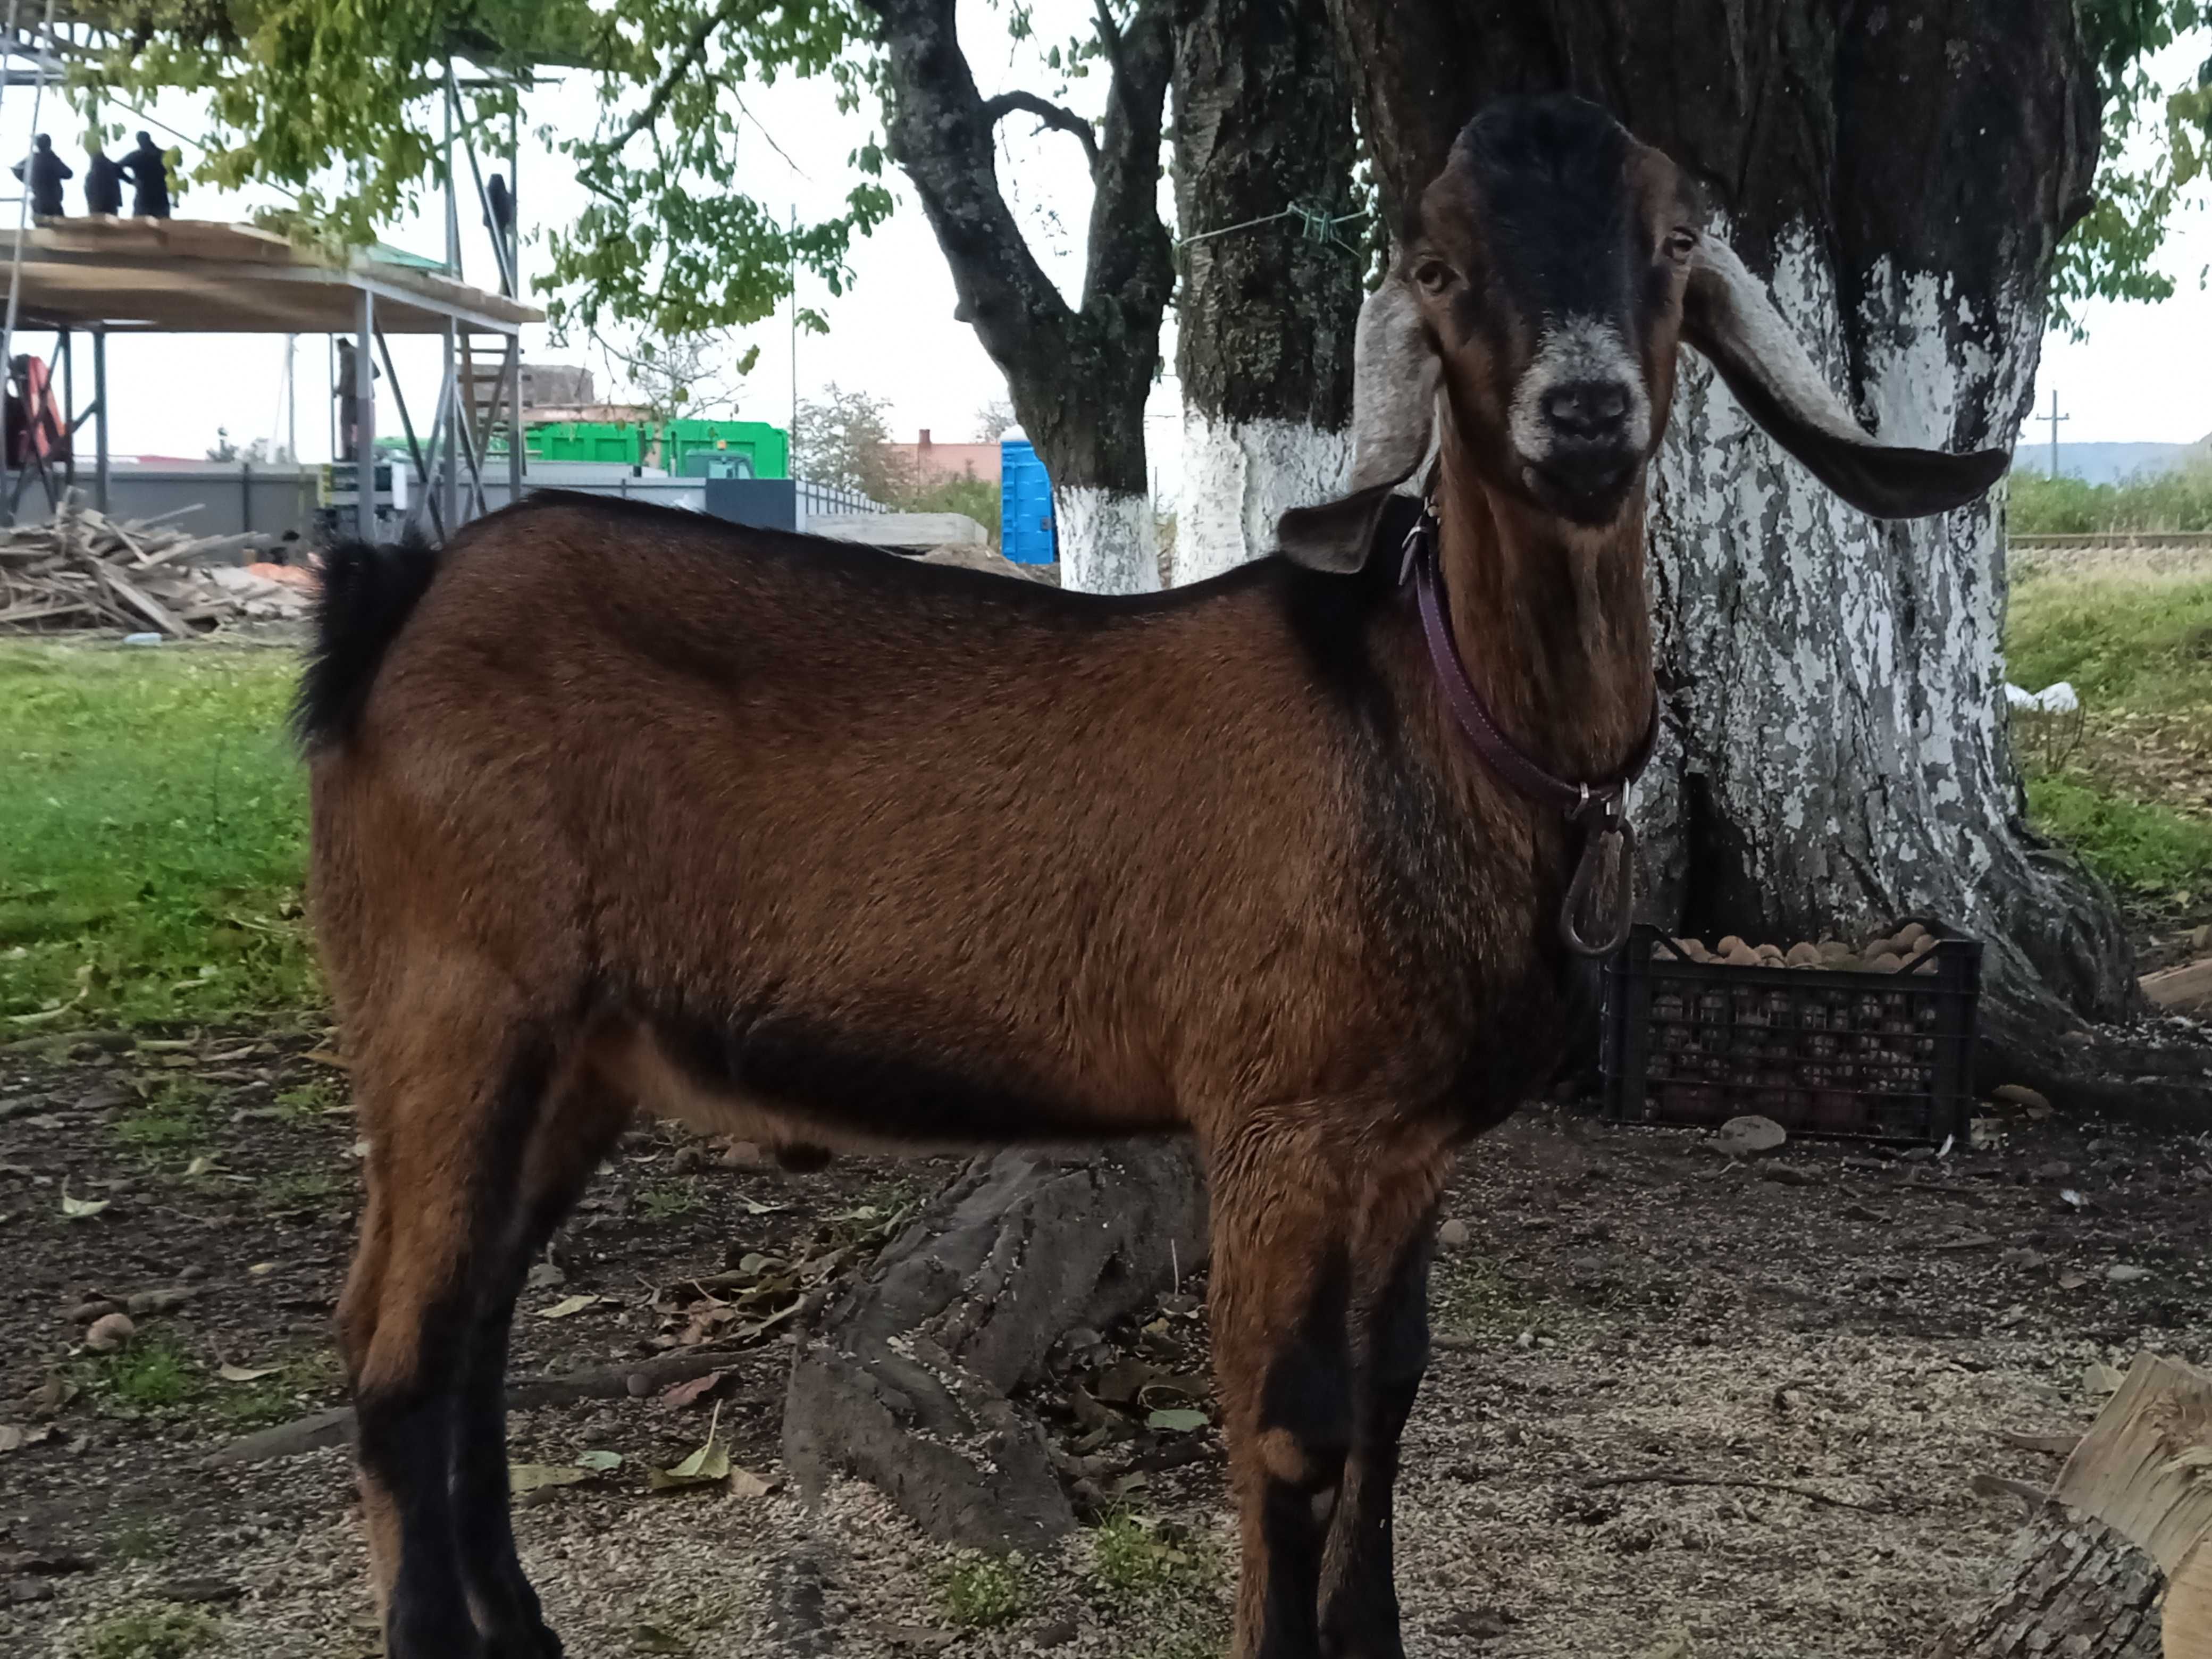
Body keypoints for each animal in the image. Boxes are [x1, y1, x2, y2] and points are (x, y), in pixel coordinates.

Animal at [298, 94, 2008, 1659]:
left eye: (1669, 241)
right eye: (1441, 267)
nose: (1581, 412)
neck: (1430, 716)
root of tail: (400, 601)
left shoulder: (1412, 1140)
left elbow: (1394, 1393)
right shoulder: (1277, 1116)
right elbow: (1293, 1424)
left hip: (579, 1051)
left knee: (471, 1328)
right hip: (453, 1002)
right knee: (393, 1346)